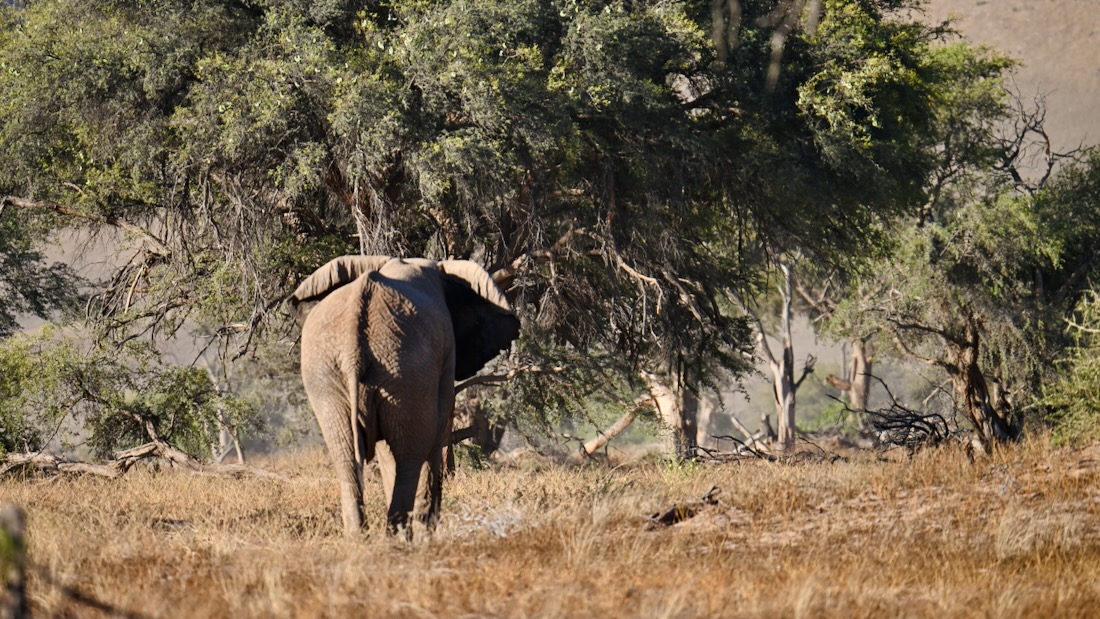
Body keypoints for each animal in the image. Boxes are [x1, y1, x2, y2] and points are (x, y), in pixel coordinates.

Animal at [290, 256, 520, 536]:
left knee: (348, 456)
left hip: (332, 372)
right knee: (409, 455)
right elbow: (435, 433)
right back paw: (406, 536)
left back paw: (362, 539)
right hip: (400, 370)